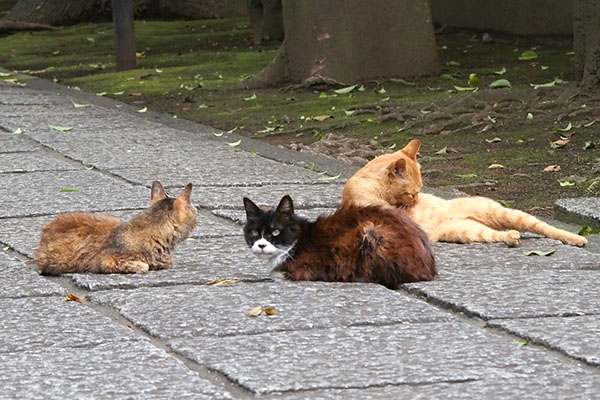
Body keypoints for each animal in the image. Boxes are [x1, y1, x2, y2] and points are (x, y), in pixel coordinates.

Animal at [243, 195, 436, 290]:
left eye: (275, 231)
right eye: (254, 232)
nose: (261, 245)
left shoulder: (311, 267)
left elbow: (279, 274)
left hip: (372, 232)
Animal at [342, 140, 584, 247]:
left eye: (419, 192)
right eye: (412, 194)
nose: (417, 201)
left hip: (508, 214)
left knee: (547, 228)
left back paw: (577, 238)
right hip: (469, 232)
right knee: (497, 234)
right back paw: (510, 237)